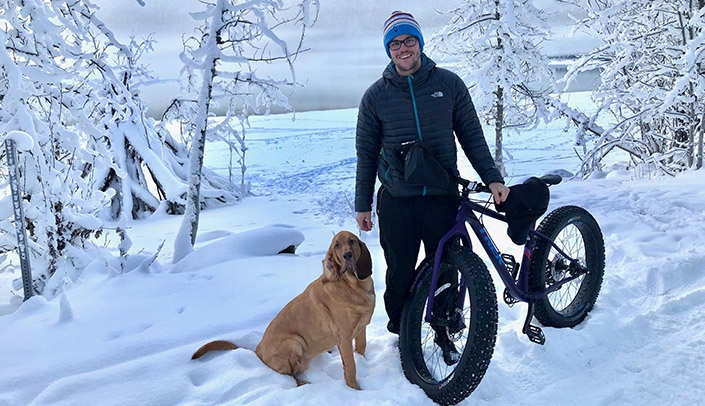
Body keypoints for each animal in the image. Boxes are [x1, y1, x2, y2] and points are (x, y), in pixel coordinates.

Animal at [190, 230, 372, 388]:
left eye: (352, 241)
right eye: (336, 246)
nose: (347, 255)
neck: (354, 286)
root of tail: (257, 352)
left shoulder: (361, 328)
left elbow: (361, 347)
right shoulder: (344, 338)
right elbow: (350, 368)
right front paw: (355, 390)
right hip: (294, 343)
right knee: (290, 376)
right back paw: (306, 383)